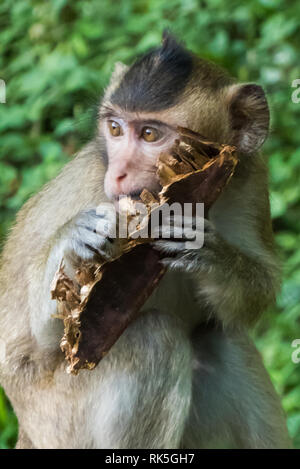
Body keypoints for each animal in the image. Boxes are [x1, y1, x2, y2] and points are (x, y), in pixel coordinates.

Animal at [0, 32, 292, 446]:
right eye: (115, 129)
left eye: (150, 134)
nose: (119, 173)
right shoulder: (92, 190)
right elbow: (28, 347)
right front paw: (72, 240)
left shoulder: (251, 178)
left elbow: (257, 293)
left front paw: (213, 255)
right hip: (58, 425)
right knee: (156, 338)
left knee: (220, 338)